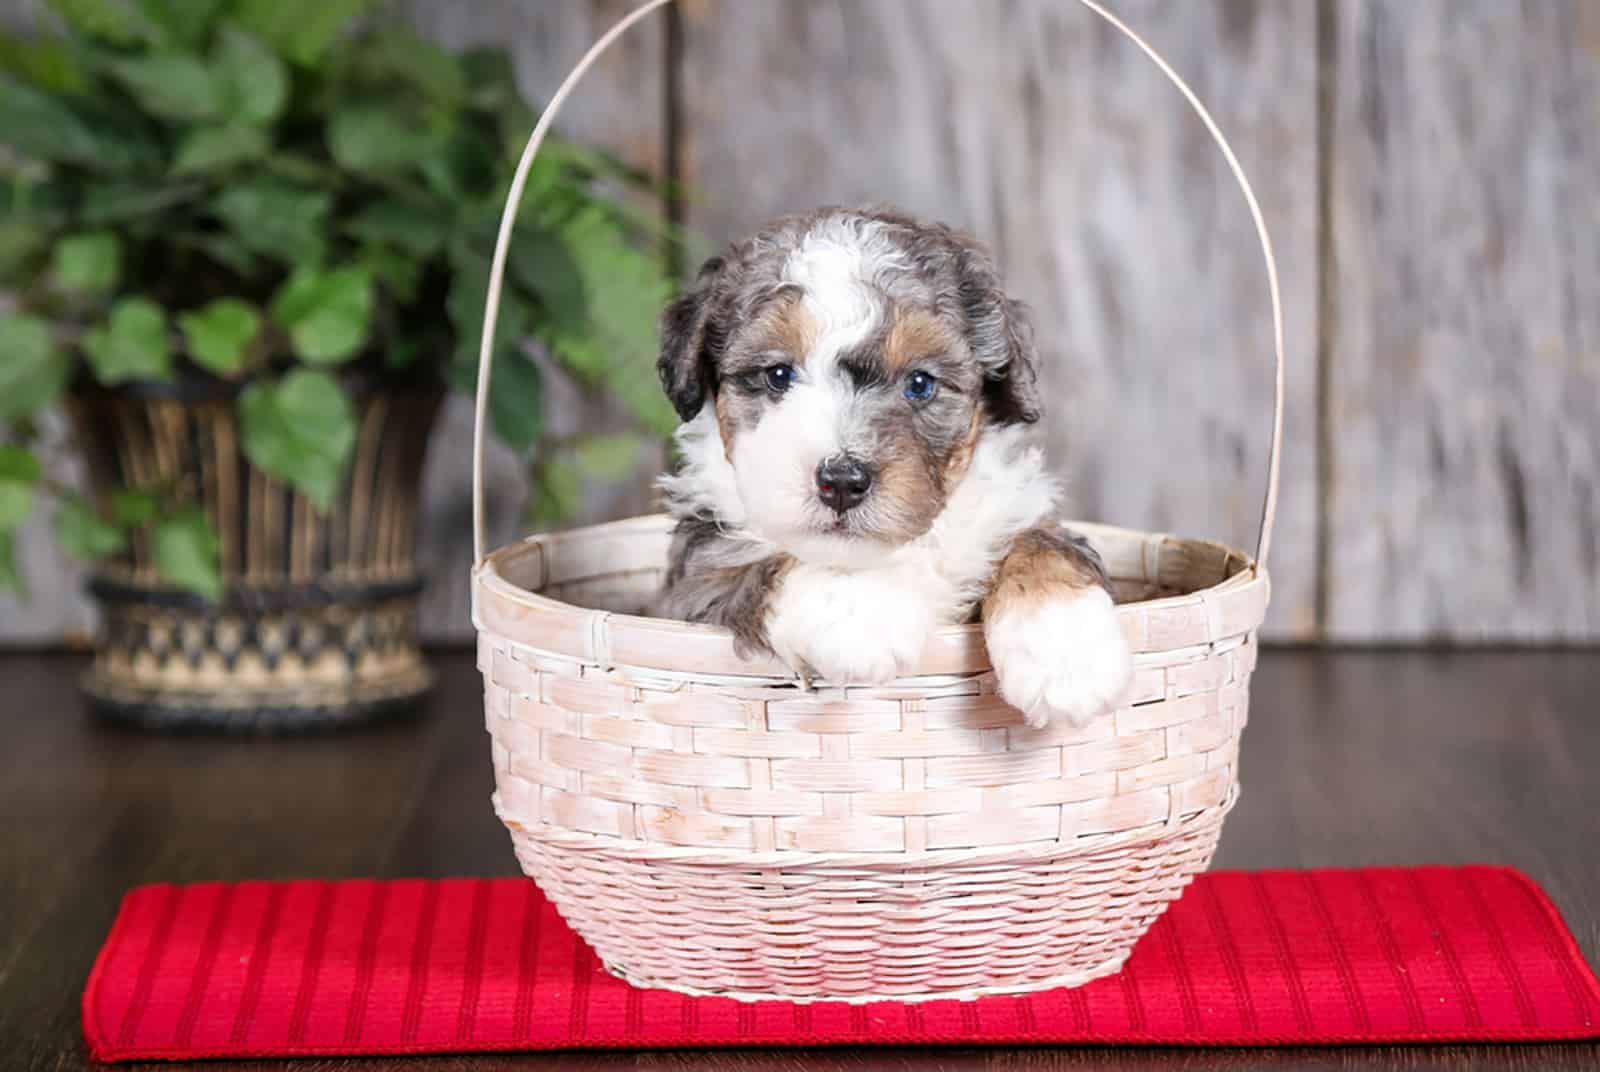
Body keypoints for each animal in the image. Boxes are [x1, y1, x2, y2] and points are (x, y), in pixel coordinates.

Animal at [646, 208, 1126, 729]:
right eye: (777, 375)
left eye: (919, 383)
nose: (842, 481)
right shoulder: (688, 587)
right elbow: (756, 566)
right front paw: (856, 612)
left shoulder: (1007, 509)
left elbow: (1040, 542)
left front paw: (1066, 655)